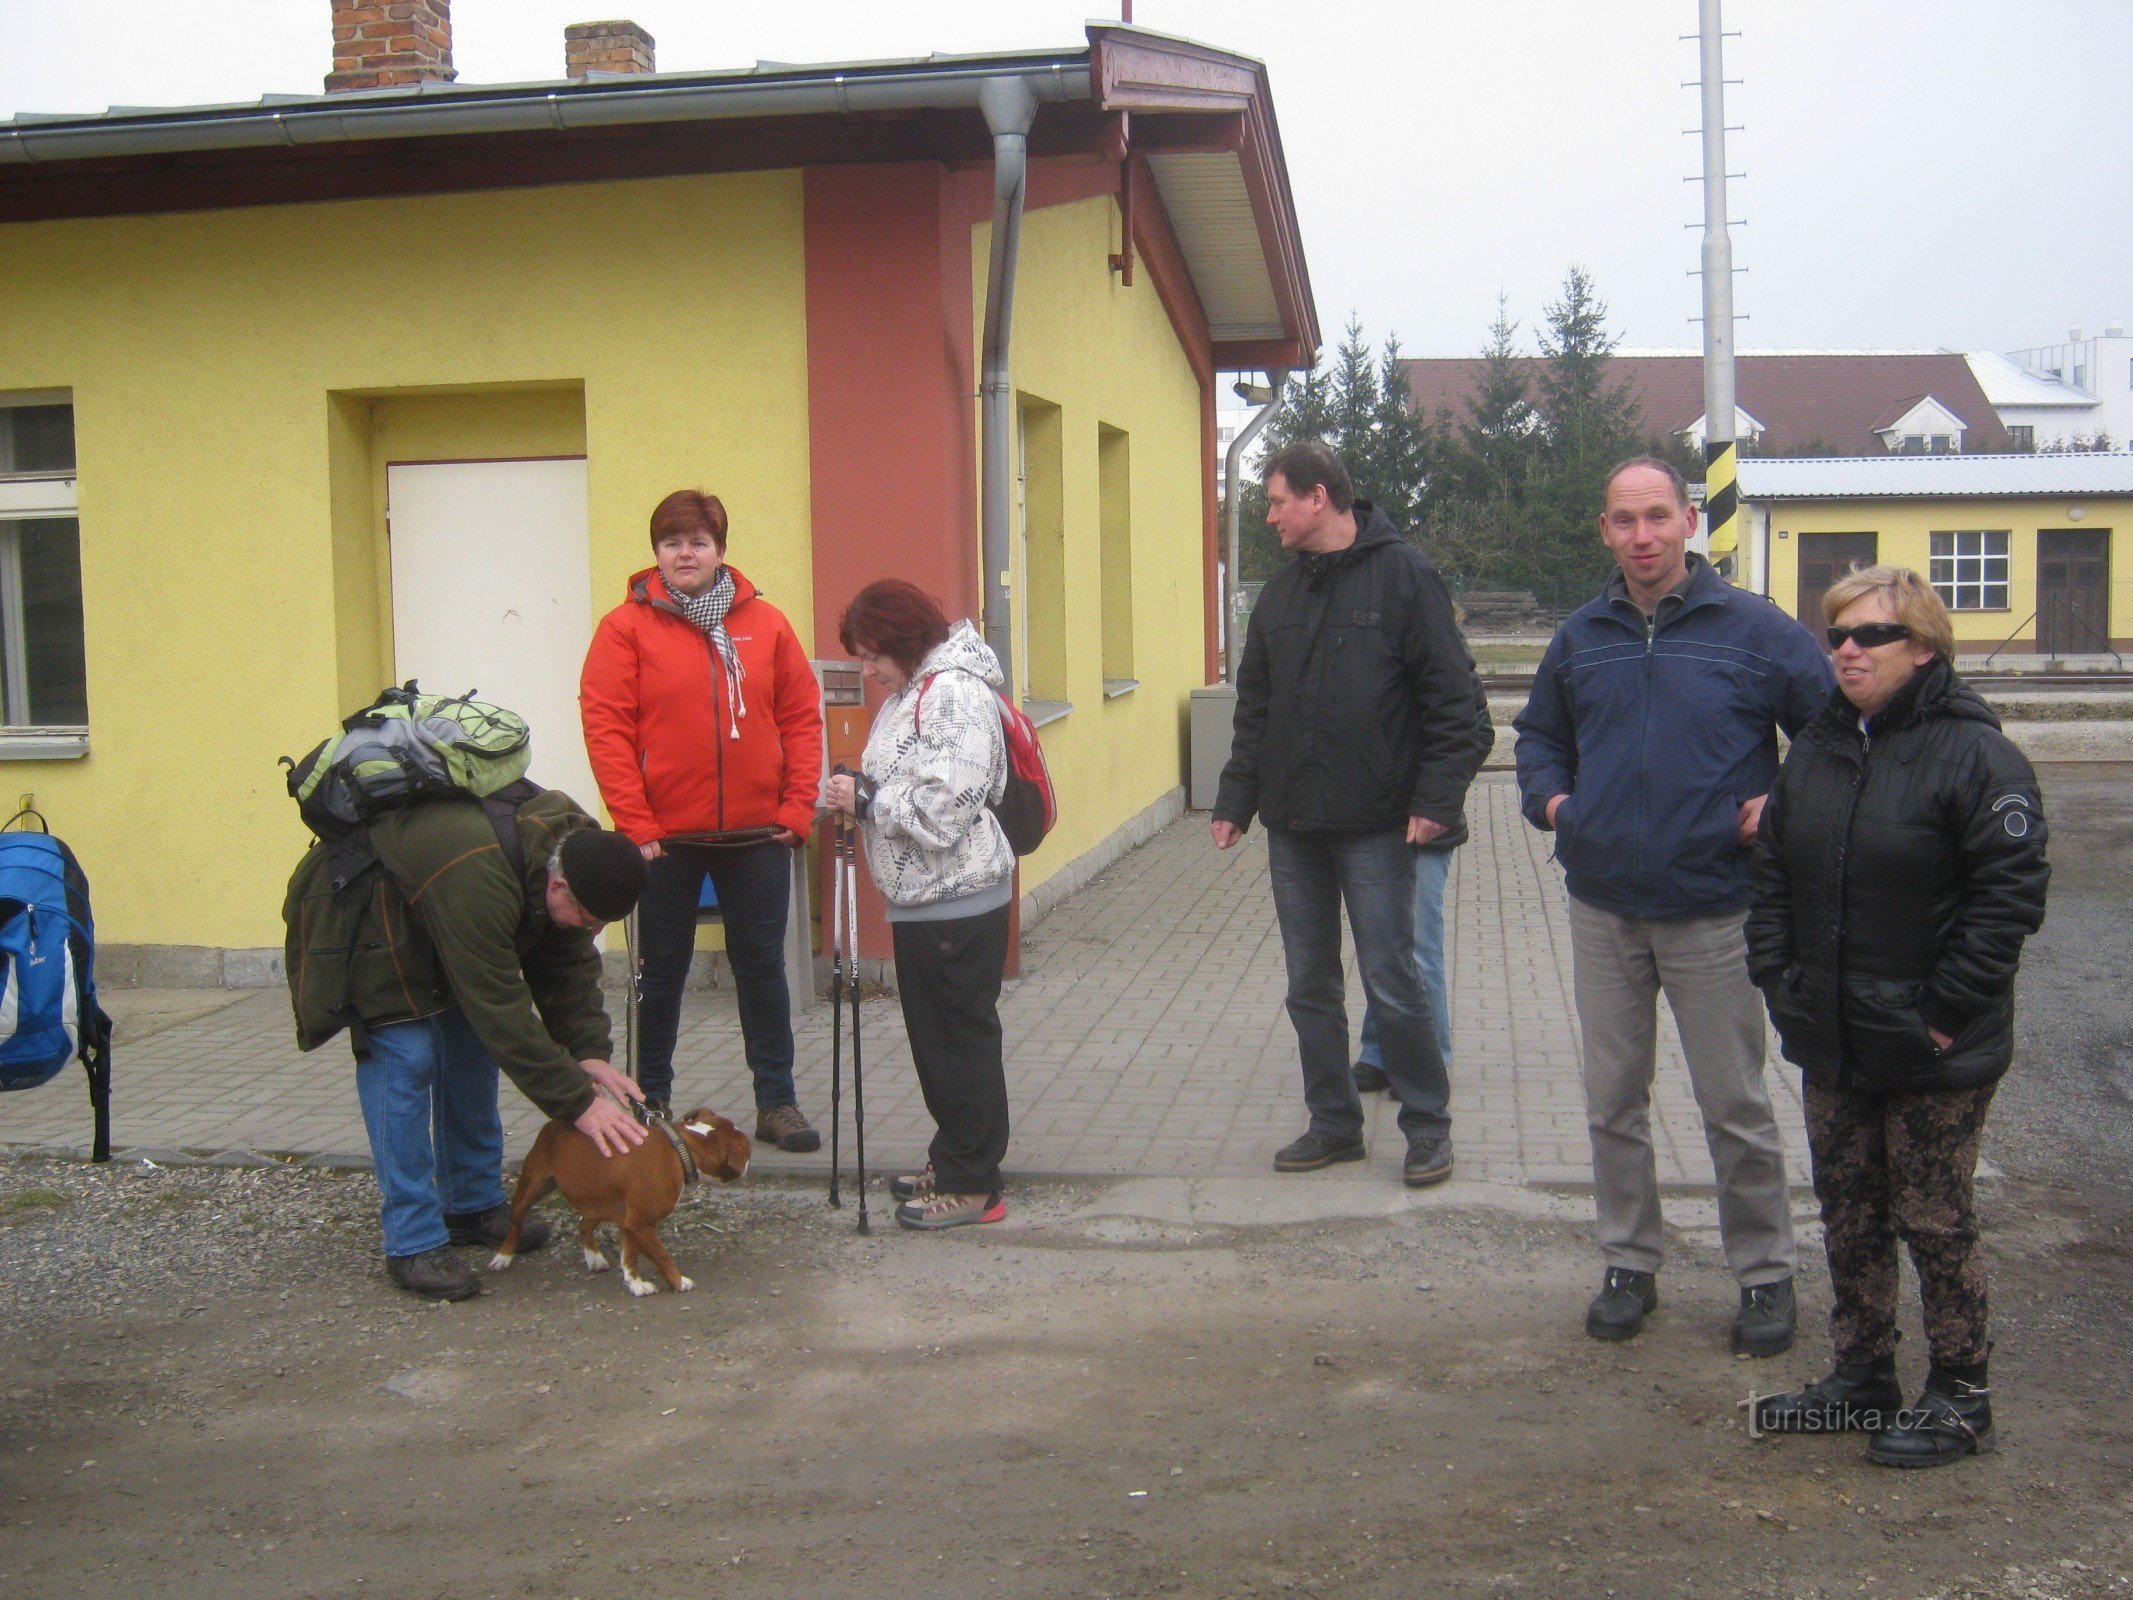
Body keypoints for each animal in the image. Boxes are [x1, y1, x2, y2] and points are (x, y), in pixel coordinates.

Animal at [488, 1117, 755, 1305]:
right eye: (747, 1152)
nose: (748, 1166)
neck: (682, 1148)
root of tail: (554, 1122)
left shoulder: (630, 1221)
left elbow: (629, 1255)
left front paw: (636, 1284)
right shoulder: (641, 1223)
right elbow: (661, 1255)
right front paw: (678, 1282)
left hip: (597, 1201)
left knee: (584, 1224)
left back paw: (594, 1257)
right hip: (532, 1186)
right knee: (516, 1223)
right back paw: (503, 1257)